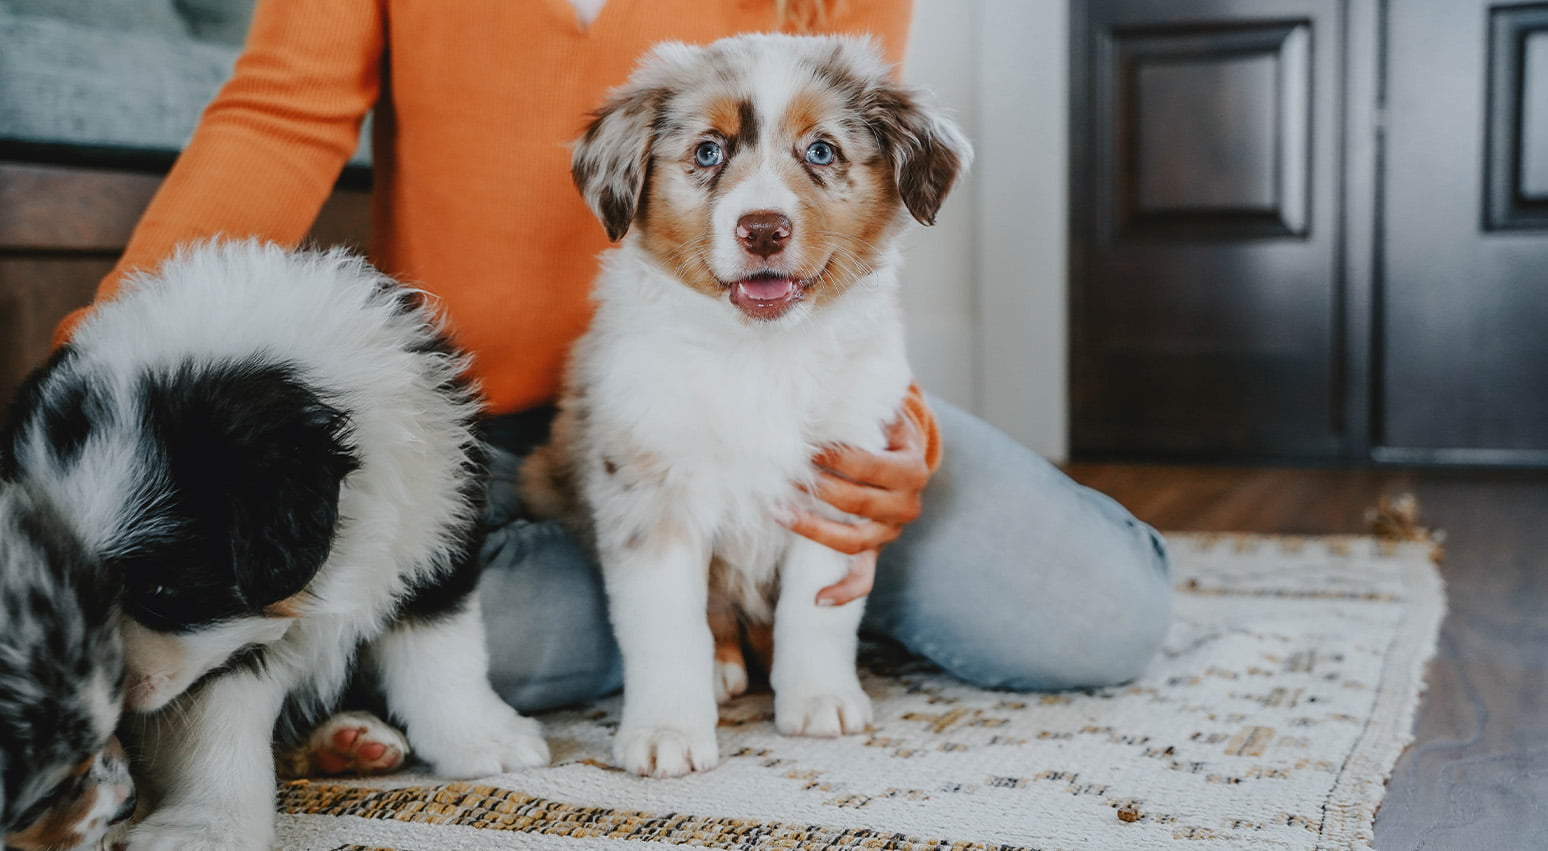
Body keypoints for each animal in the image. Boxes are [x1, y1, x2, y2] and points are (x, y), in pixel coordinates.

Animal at [1, 241, 551, 851]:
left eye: (162, 591)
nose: (100, 707)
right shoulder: (221, 649)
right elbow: (217, 729)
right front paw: (210, 830)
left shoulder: (433, 525)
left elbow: (441, 650)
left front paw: (483, 739)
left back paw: (351, 742)